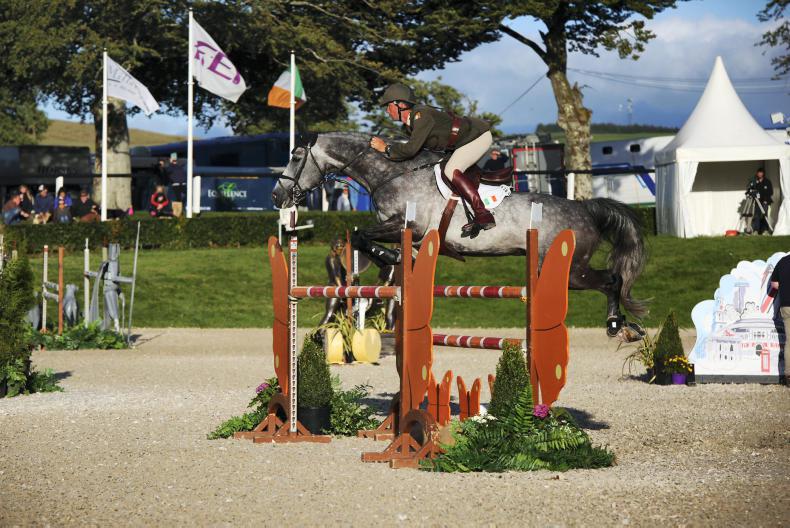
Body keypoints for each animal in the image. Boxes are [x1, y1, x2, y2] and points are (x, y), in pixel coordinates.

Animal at [272, 132, 648, 342]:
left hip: (571, 271)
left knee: (612, 280)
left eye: (296, 156)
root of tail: (586, 209)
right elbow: (360, 235)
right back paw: (623, 326)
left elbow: (362, 234)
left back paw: (618, 325)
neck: (393, 174)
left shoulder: (409, 226)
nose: (277, 196)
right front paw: (396, 258)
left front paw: (392, 257)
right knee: (611, 280)